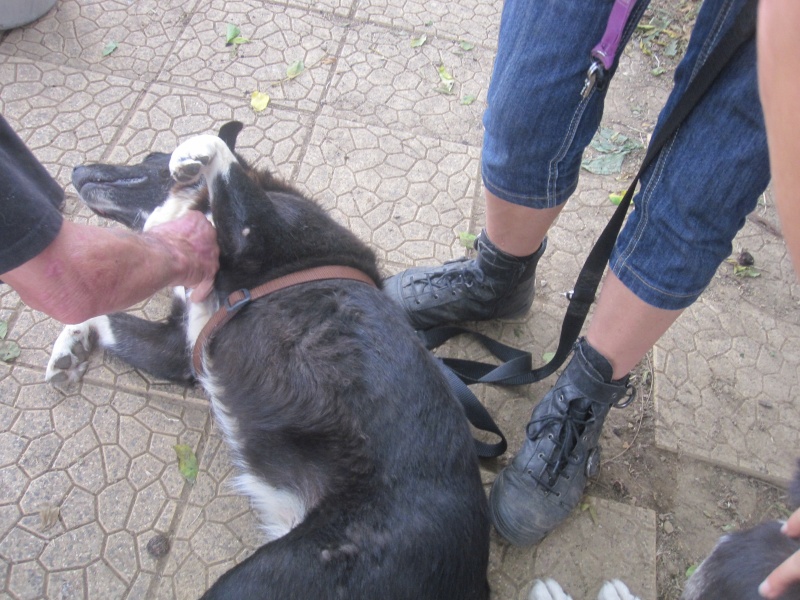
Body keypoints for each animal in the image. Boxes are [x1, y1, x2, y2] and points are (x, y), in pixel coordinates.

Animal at [50, 123, 490, 600]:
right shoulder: (177, 348)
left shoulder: (252, 233)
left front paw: (194, 154)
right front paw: (71, 343)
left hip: (267, 574)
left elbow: (221, 154)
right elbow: (105, 319)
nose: (75, 168)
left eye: (149, 157)